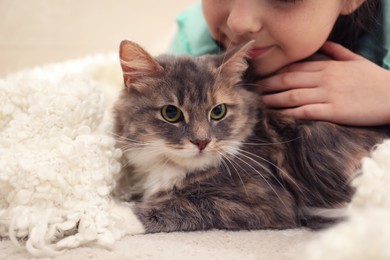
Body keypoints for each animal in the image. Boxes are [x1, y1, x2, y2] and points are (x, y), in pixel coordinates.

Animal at [111, 39, 388, 233]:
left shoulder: (263, 203)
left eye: (218, 111)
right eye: (171, 113)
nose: (202, 141)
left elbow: (179, 205)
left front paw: (113, 216)